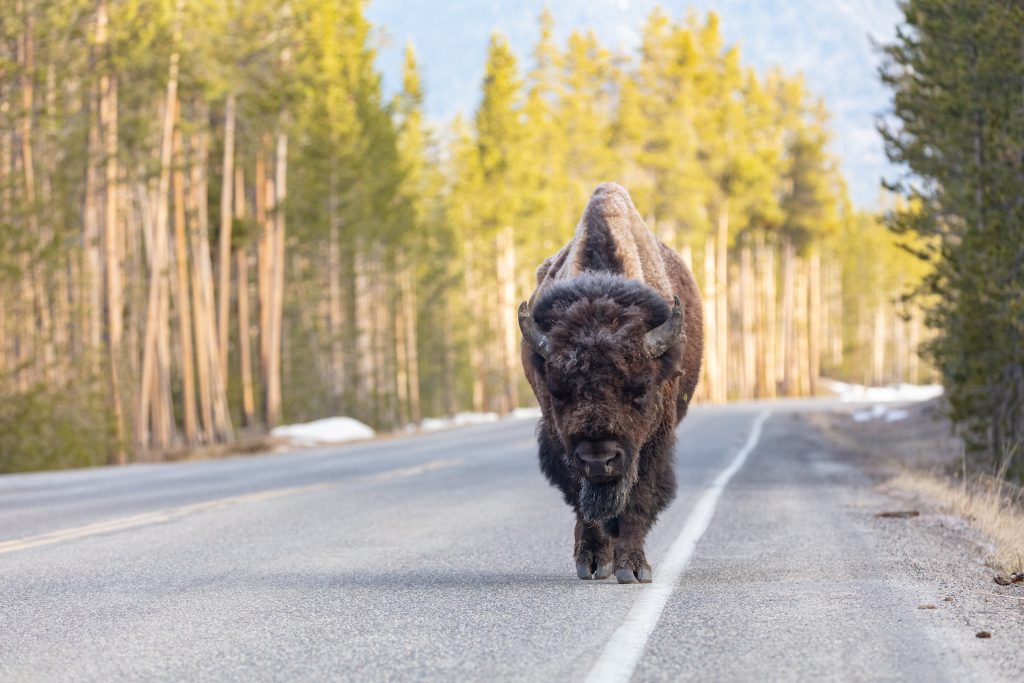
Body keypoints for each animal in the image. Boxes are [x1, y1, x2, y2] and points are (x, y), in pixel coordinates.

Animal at [520, 184, 704, 585]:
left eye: (640, 389)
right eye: (558, 390)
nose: (598, 459)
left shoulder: (651, 443)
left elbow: (637, 500)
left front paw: (633, 568)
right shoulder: (560, 441)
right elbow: (582, 500)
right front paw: (593, 562)